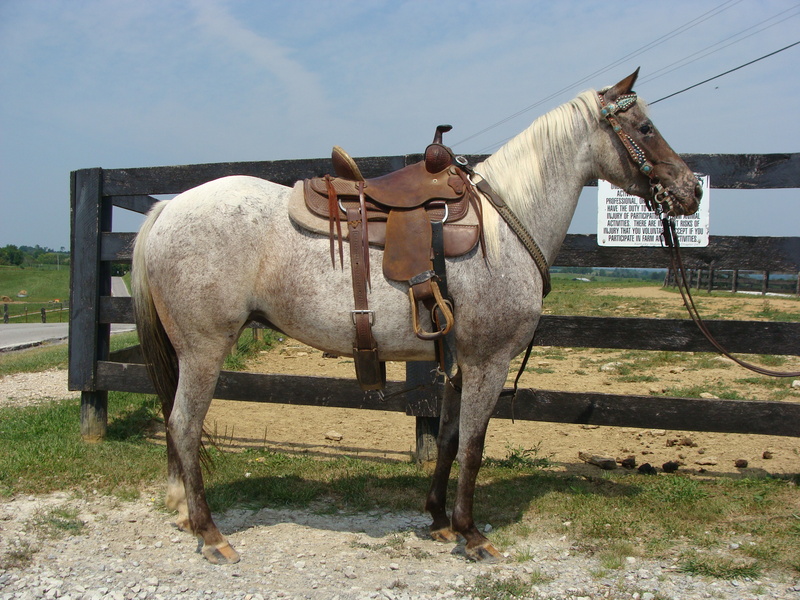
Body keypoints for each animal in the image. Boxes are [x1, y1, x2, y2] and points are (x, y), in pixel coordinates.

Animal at [131, 69, 701, 564]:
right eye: (645, 128)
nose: (690, 190)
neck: (504, 225)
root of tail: (168, 209)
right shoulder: (488, 361)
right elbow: (474, 445)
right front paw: (473, 534)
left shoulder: (458, 364)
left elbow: (449, 439)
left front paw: (440, 520)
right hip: (203, 350)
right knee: (184, 425)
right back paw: (211, 534)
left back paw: (186, 513)